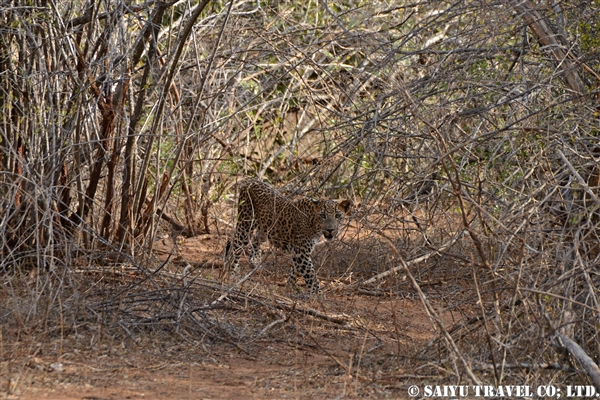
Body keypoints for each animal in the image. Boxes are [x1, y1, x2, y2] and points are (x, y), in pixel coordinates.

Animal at [224, 180, 352, 296]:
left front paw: (290, 287)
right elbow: (310, 273)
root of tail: (249, 181)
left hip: (265, 227)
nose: (330, 229)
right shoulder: (301, 250)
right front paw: (317, 294)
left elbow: (296, 271)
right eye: (323, 216)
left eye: (337, 215)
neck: (314, 224)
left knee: (255, 238)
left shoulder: (299, 251)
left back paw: (254, 261)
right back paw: (232, 273)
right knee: (235, 246)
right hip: (246, 224)